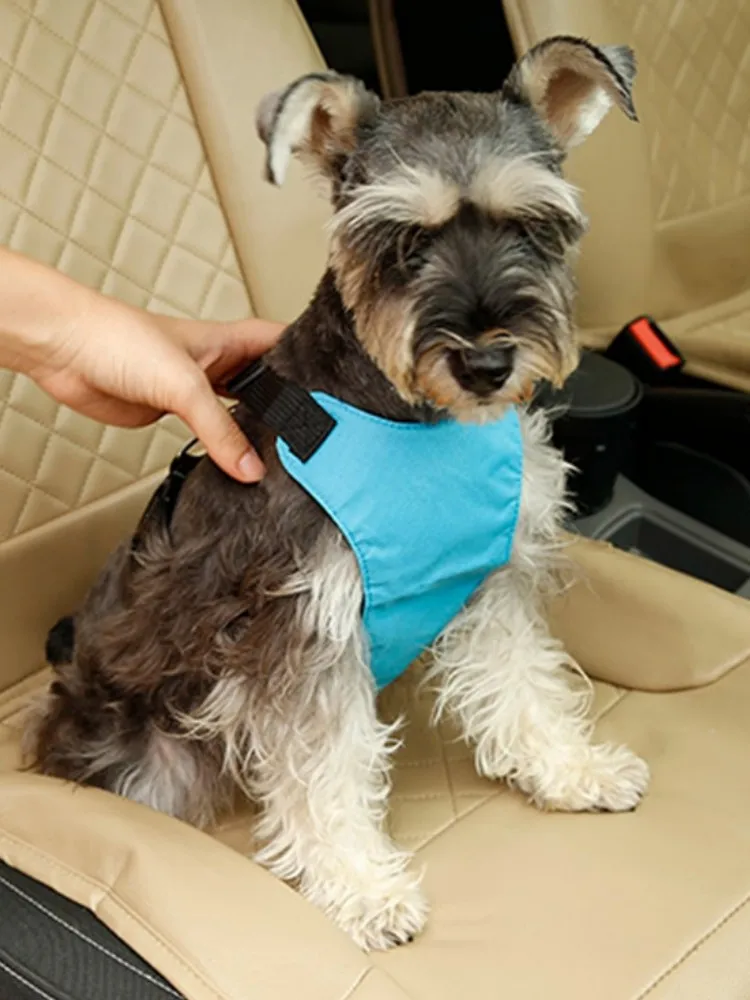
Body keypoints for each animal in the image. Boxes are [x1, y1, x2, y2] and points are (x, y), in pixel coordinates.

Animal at [26, 36, 649, 951]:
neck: (416, 422)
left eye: (531, 225)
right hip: (147, 753)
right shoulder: (298, 631)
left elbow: (523, 681)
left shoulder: (488, 578)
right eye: (400, 241)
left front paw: (570, 769)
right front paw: (362, 887)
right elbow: (325, 769)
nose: (487, 363)